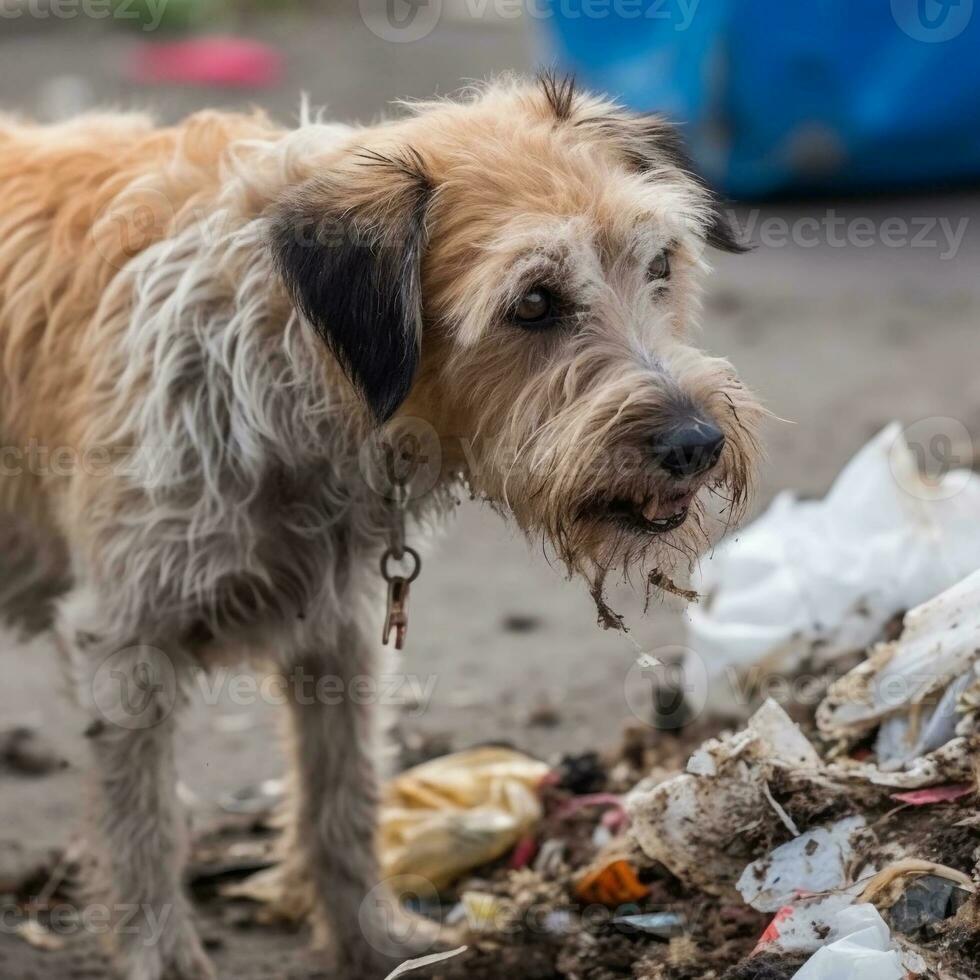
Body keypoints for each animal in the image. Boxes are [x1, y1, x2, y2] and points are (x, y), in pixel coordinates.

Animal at [0, 72, 764, 976]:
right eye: (534, 302)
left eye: (660, 265)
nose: (697, 443)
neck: (287, 350)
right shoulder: (123, 639)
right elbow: (144, 827)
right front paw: (167, 958)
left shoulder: (338, 627)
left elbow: (345, 796)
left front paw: (376, 939)